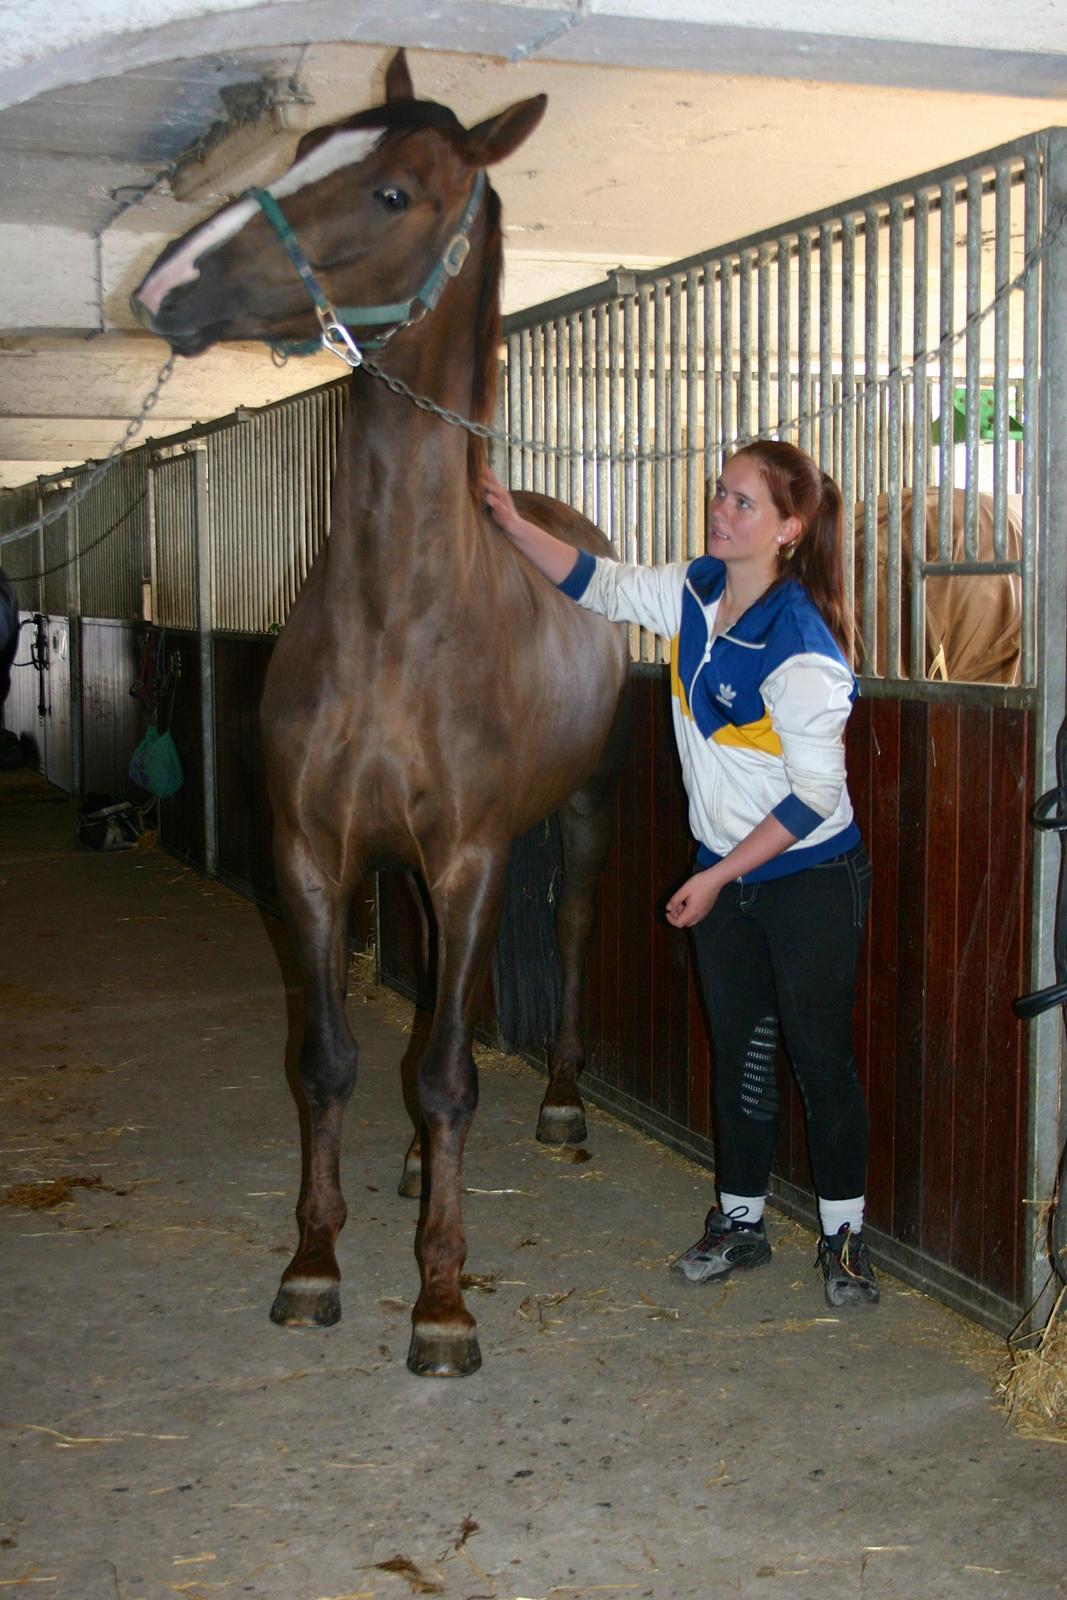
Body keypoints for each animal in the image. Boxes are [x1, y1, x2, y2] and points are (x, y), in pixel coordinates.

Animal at [134, 50, 633, 1376]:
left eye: (395, 191)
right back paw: (413, 1168)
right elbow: (331, 1061)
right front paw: (313, 1263)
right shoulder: (314, 855)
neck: (397, 615)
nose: (162, 286)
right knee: (422, 1012)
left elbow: (453, 1074)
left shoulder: (470, 858)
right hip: (406, 869)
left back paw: (561, 1105)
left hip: (571, 820)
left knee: (563, 942)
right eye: (307, 145)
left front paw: (443, 1302)